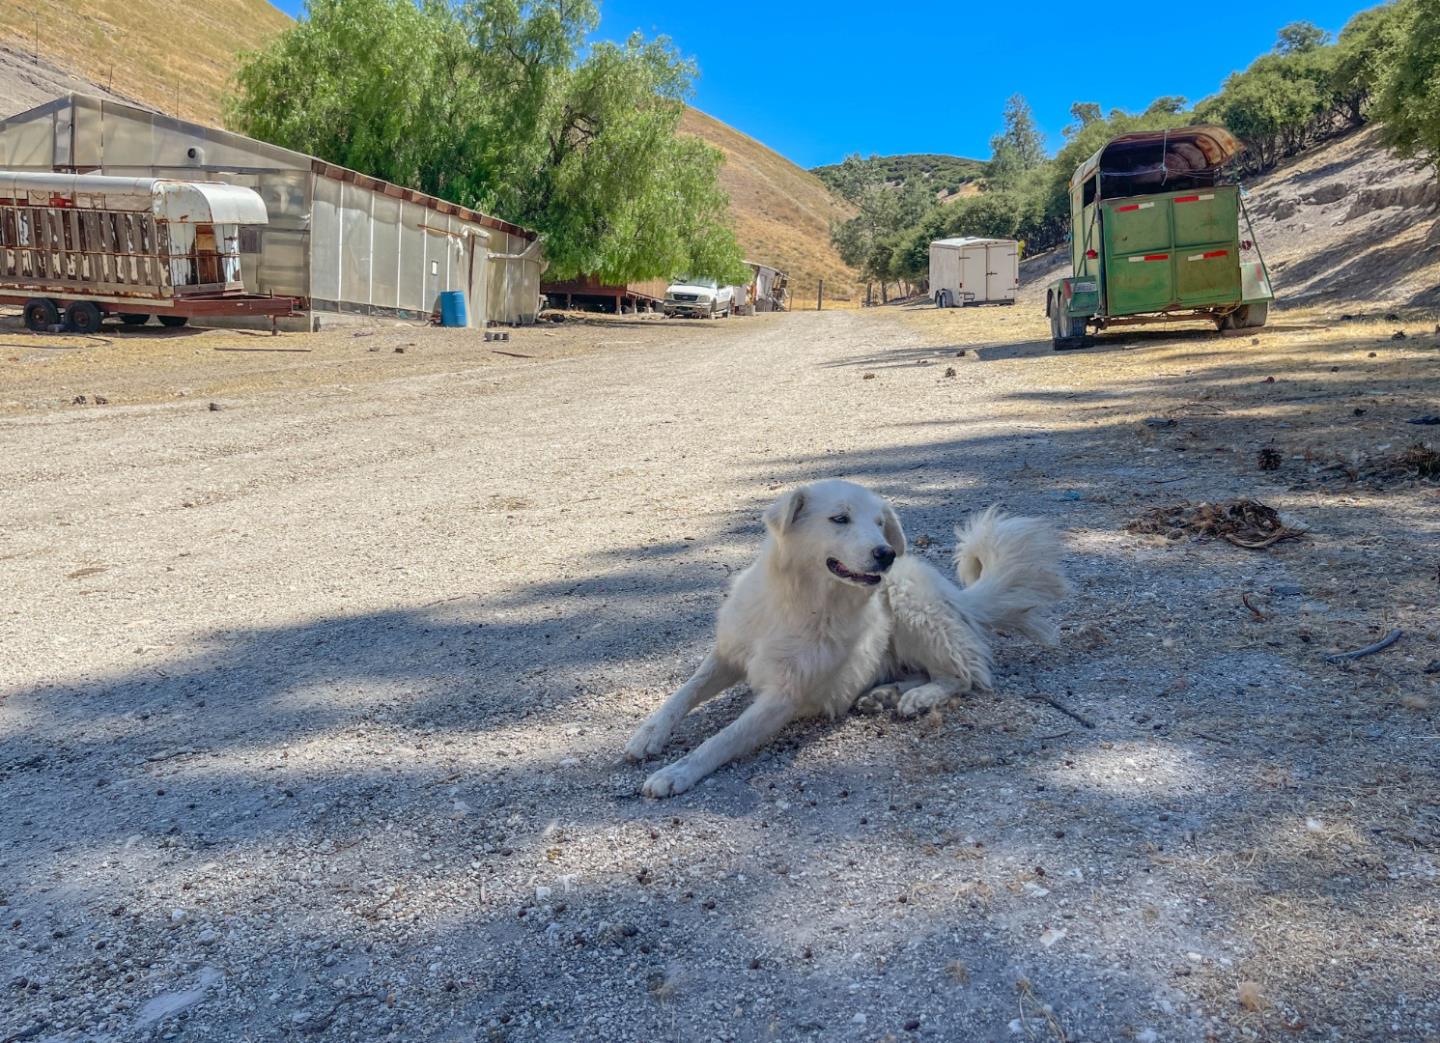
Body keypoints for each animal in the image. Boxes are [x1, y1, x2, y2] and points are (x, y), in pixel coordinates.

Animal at [624, 481, 1065, 800]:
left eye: (880, 523)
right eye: (840, 519)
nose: (886, 553)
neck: (798, 602)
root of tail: (959, 597)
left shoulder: (783, 696)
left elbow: (719, 740)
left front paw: (676, 772)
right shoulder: (729, 654)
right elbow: (683, 693)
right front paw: (648, 735)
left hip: (910, 599)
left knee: (964, 674)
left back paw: (916, 698)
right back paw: (885, 694)